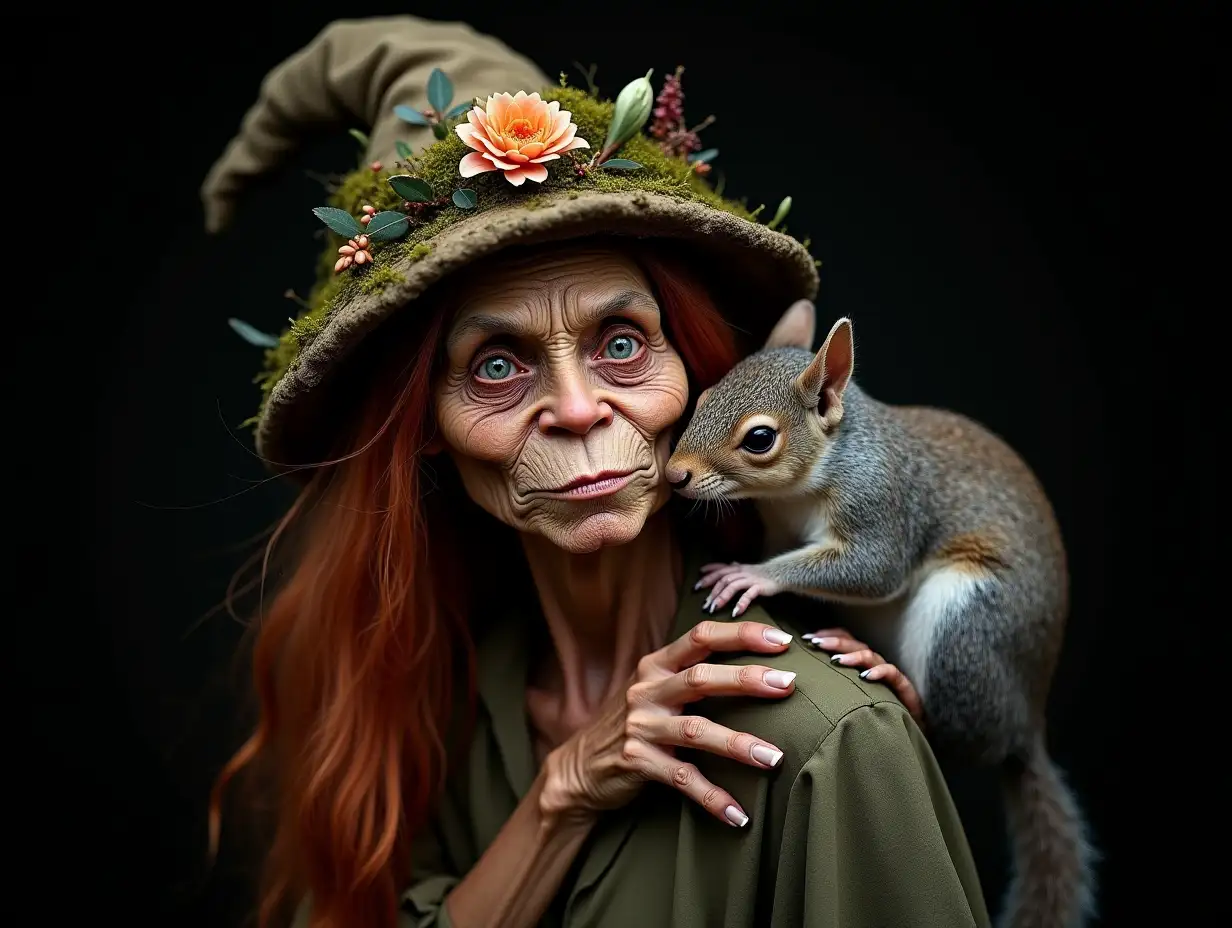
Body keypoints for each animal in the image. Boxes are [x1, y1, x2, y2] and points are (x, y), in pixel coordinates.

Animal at [675, 298, 1098, 926]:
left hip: (967, 627)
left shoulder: (880, 503)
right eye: (702, 398)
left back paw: (889, 673)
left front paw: (750, 575)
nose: (675, 473)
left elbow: (873, 568)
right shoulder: (780, 527)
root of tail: (1025, 726)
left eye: (760, 439)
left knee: (949, 733)